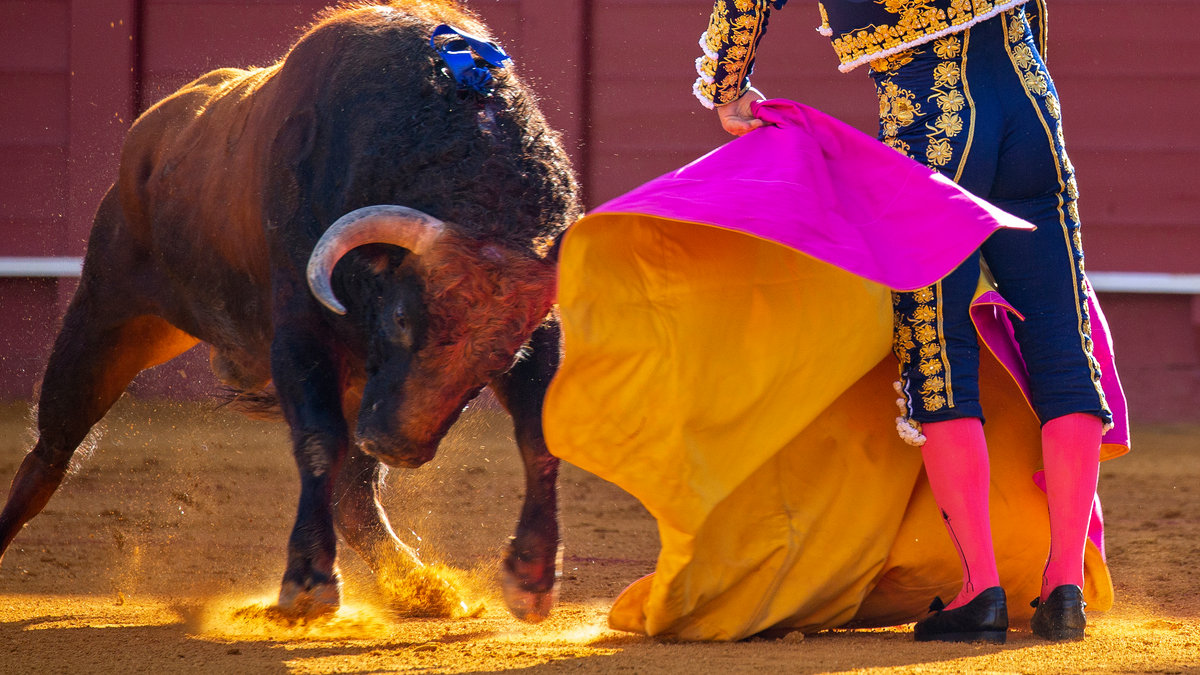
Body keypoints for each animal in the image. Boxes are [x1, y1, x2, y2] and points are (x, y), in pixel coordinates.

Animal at [0, 0, 579, 622]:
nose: (396, 445)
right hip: (107, 311)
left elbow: (540, 439)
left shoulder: (536, 333)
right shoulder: (300, 326)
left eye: (502, 356)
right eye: (402, 317)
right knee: (51, 450)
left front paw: (532, 576)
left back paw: (418, 584)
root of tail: (150, 135)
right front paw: (307, 583)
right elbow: (320, 440)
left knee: (355, 493)